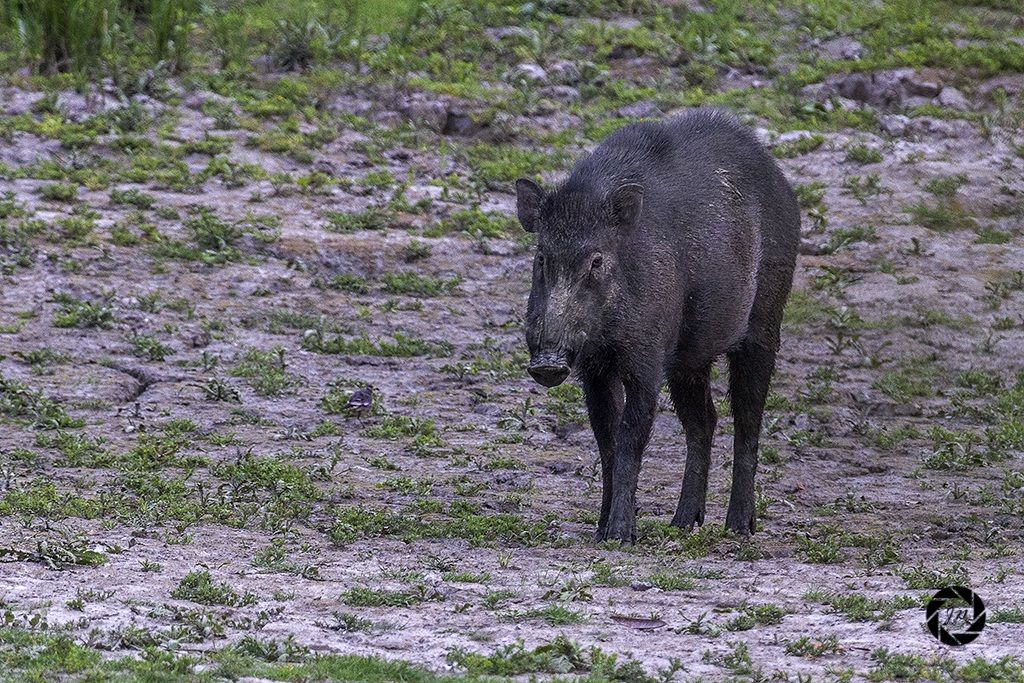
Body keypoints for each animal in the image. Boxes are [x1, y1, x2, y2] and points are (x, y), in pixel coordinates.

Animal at [516, 109, 798, 542]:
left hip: (764, 325)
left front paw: (620, 535)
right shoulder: (594, 370)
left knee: (748, 422)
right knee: (704, 421)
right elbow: (606, 441)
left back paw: (738, 527)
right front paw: (601, 530)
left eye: (596, 261)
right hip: (689, 359)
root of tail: (783, 182)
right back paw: (682, 523)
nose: (547, 362)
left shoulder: (646, 360)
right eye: (541, 258)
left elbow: (630, 441)